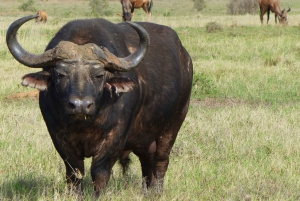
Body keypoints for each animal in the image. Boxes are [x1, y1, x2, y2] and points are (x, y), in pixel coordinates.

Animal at [5, 15, 193, 196]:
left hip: (173, 124)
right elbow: (74, 172)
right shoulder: (58, 135)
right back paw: (147, 191)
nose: (80, 105)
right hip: (145, 137)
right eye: (60, 74)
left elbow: (100, 171)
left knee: (161, 160)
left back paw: (157, 191)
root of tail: (185, 58)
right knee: (147, 161)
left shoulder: (115, 136)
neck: (85, 123)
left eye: (99, 75)